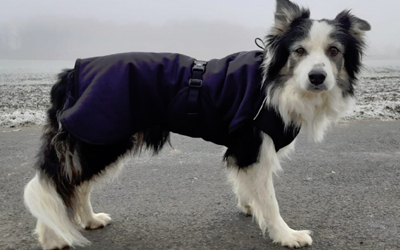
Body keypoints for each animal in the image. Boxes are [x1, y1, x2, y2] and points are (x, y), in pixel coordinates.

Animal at [24, 0, 368, 248]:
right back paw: (53, 238)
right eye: (299, 51)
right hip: (98, 137)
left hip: (100, 140)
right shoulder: (253, 144)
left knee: (78, 186)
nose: (317, 77)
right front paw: (286, 235)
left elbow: (247, 186)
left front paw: (249, 207)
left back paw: (90, 219)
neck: (275, 83)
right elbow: (270, 200)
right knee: (53, 185)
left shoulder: (241, 148)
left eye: (334, 51)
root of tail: (71, 71)